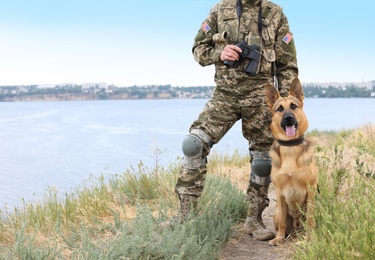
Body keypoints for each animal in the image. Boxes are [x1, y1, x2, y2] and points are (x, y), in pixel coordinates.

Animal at [266, 78, 318, 246]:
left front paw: (309, 240)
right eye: (279, 109)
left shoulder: (310, 191)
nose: (288, 118)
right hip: (276, 210)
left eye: (293, 106)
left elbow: (310, 219)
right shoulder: (280, 193)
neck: (290, 147)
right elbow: (283, 221)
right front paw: (279, 238)